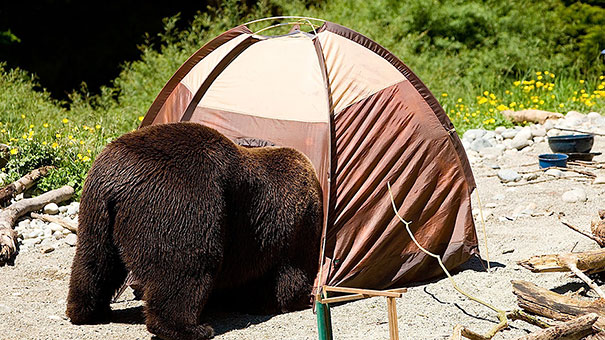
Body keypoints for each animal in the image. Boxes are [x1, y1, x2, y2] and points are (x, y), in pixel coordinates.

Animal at [66, 122, 324, 340]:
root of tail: (117, 181)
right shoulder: (292, 228)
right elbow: (289, 274)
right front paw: (287, 300)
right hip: (183, 202)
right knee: (186, 266)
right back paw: (189, 328)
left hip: (96, 213)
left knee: (94, 262)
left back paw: (87, 311)